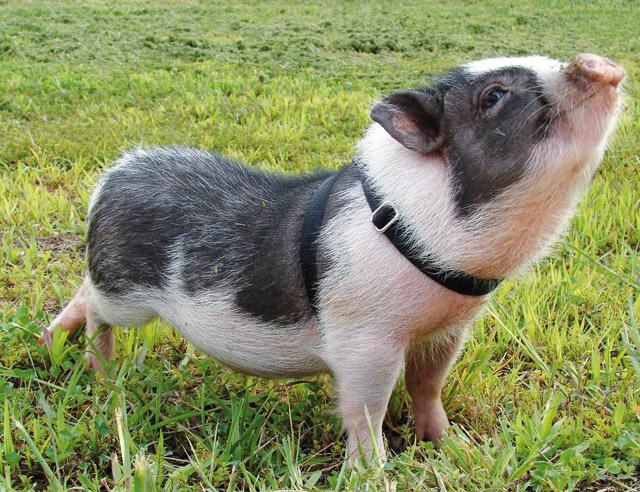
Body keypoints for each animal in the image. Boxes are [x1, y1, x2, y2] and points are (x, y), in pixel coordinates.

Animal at [40, 53, 624, 464]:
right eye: (496, 95)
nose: (599, 63)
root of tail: (113, 176)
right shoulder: (366, 338)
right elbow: (366, 408)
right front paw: (376, 471)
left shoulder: (447, 330)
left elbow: (428, 386)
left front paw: (456, 448)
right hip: (127, 295)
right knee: (96, 312)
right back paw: (102, 374)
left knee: (81, 293)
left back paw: (53, 345)